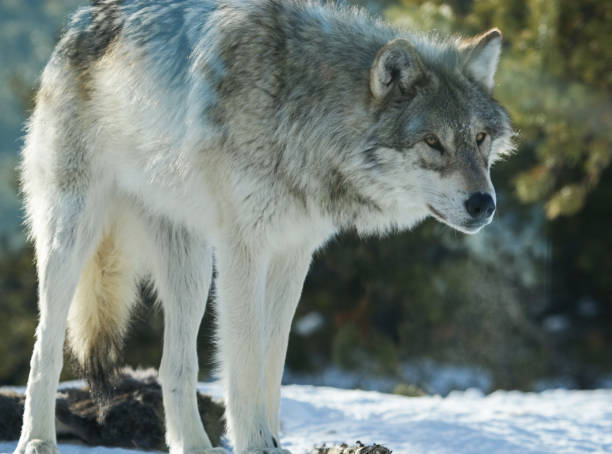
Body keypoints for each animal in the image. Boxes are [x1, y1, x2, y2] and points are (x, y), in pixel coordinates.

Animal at [14, 0, 512, 454]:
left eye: (479, 138)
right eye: (432, 142)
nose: (484, 204)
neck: (303, 109)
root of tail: (80, 22)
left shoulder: (293, 253)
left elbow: (273, 359)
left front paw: (271, 437)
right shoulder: (243, 251)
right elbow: (246, 362)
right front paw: (256, 442)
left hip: (192, 270)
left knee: (174, 366)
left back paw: (195, 447)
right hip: (72, 239)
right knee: (45, 350)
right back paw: (37, 440)